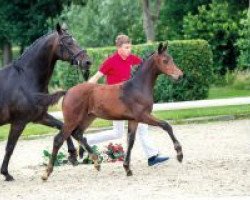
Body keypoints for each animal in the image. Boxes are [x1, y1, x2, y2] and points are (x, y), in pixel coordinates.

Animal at [0, 23, 91, 181]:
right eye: (69, 42)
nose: (87, 61)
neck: (25, 80)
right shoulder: (19, 122)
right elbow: (10, 146)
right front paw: (6, 173)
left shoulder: (39, 117)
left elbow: (61, 126)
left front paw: (73, 155)